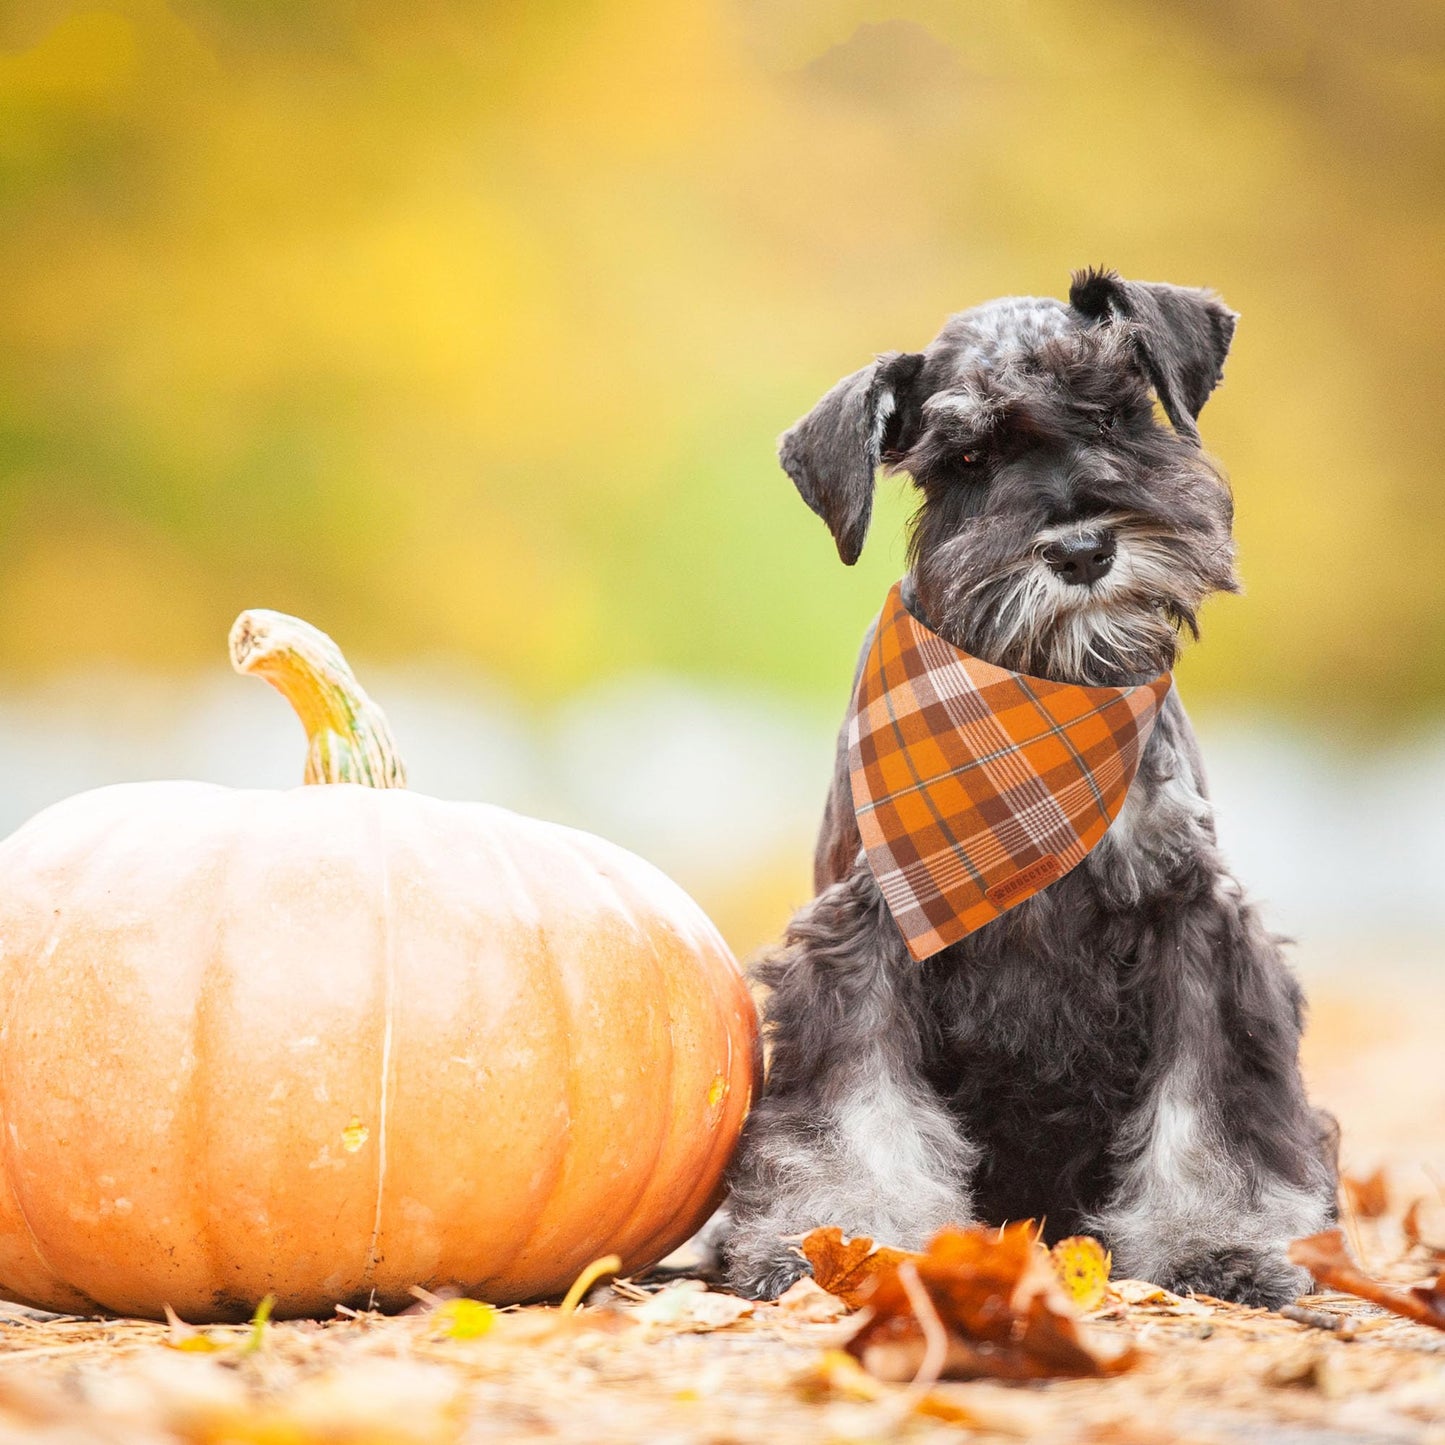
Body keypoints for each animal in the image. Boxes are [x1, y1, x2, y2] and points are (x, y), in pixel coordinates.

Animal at [722, 265, 1340, 1306]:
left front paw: (1215, 1243)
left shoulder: (1195, 922)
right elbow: (853, 1103)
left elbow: (1208, 1106)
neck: (1039, 696)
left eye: (1117, 411)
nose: (1081, 549)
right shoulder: (863, 935)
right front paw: (832, 1237)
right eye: (964, 457)